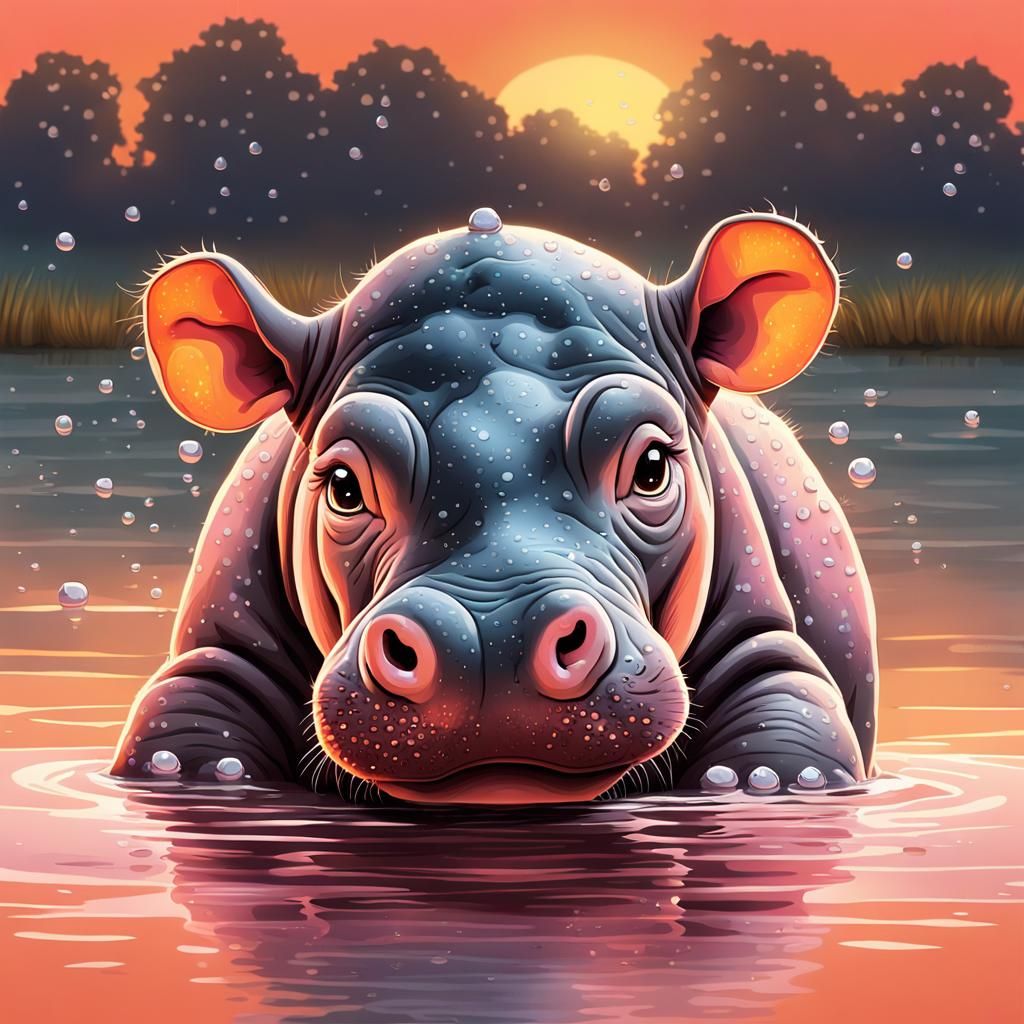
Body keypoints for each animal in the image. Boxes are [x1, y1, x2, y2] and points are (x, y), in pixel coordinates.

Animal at [111, 209, 878, 804]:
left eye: (654, 466)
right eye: (343, 486)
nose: (491, 640)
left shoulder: (771, 660)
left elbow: (789, 738)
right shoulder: (211, 664)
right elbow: (182, 733)